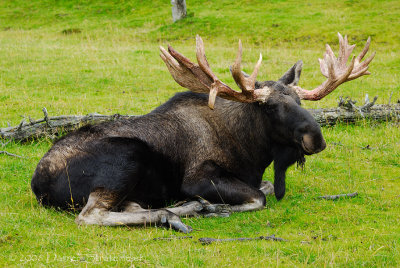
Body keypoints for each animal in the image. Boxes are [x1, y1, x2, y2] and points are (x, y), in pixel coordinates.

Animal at [31, 34, 376, 232]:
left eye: (299, 101)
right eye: (268, 107)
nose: (315, 138)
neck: (252, 152)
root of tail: (37, 184)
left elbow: (263, 186)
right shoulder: (197, 177)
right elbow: (259, 196)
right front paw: (216, 206)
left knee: (128, 206)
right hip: (127, 155)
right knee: (90, 216)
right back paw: (182, 211)